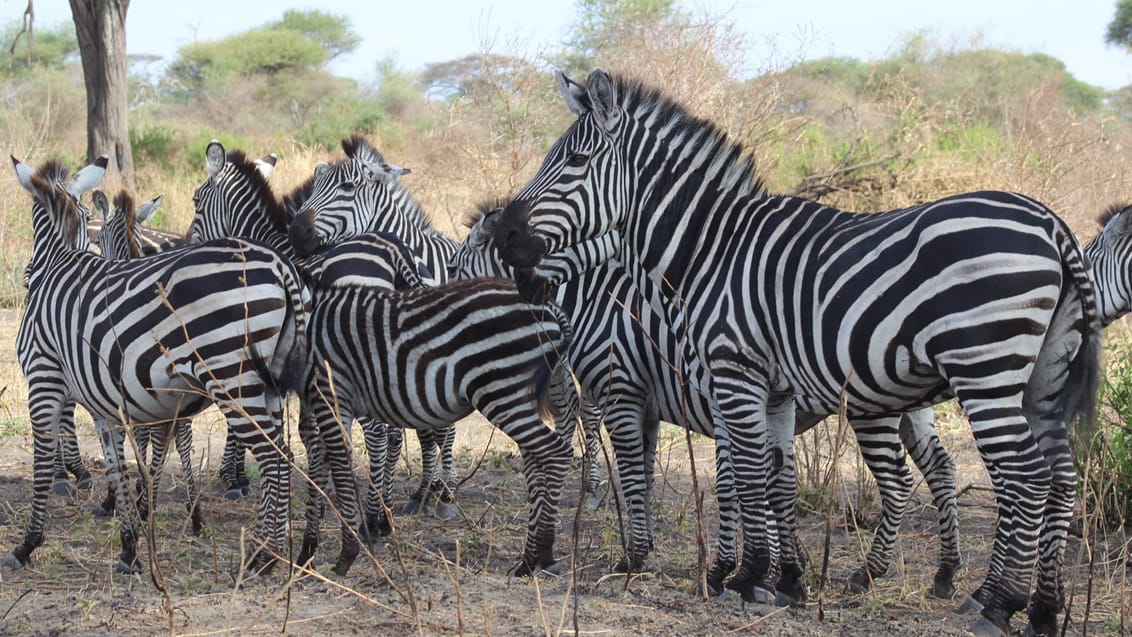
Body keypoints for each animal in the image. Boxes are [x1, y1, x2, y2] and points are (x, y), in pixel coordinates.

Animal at [5, 155, 310, 579]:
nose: (26, 275)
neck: (59, 261)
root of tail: (280, 267)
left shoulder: (42, 377)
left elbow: (42, 459)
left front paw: (27, 544)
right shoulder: (102, 401)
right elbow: (117, 466)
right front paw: (129, 546)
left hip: (230, 377)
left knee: (274, 458)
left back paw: (263, 558)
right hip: (268, 383)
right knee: (285, 454)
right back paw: (275, 550)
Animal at [185, 140, 432, 538]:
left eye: (196, 200)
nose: (188, 248)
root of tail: (393, 250)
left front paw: (238, 481)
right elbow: (301, 433)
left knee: (380, 434)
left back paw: (374, 519)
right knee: (396, 432)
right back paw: (388, 513)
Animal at [296, 273, 575, 579]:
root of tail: (552, 309)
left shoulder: (331, 394)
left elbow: (337, 468)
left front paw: (344, 554)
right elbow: (318, 468)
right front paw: (306, 553)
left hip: (500, 390)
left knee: (557, 453)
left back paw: (541, 554)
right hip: (522, 395)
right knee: (538, 459)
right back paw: (531, 558)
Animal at [450, 204, 964, 601]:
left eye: (458, 266)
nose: (445, 296)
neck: (603, 303)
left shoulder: (623, 396)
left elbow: (637, 478)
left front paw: (636, 559)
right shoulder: (649, 409)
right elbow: (647, 479)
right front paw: (651, 553)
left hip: (871, 409)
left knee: (898, 483)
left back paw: (869, 573)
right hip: (910, 405)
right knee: (941, 469)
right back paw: (945, 574)